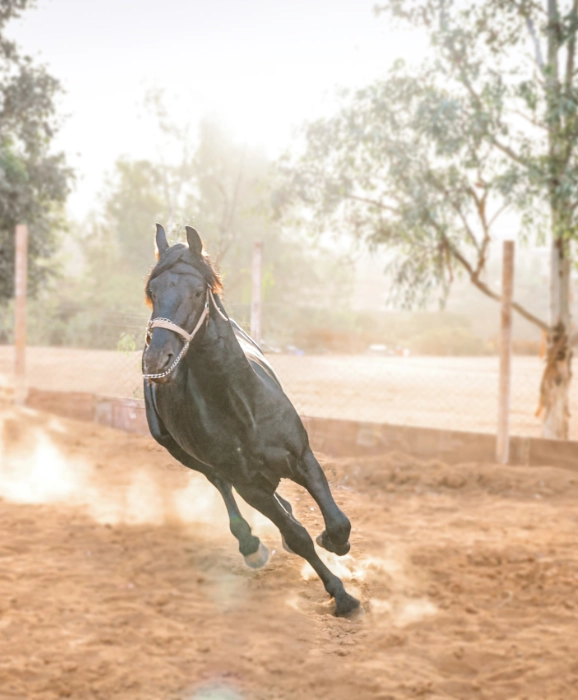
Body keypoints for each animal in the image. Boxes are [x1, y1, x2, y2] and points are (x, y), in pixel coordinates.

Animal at [142, 223, 360, 617]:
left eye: (198, 291)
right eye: (152, 292)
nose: (155, 360)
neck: (243, 408)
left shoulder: (302, 457)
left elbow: (337, 521)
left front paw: (334, 542)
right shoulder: (249, 485)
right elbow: (297, 537)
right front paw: (342, 595)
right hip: (182, 453)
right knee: (220, 485)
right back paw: (250, 546)